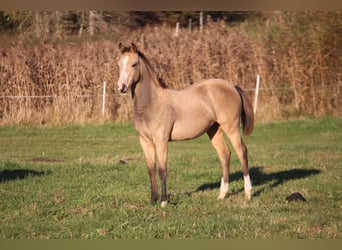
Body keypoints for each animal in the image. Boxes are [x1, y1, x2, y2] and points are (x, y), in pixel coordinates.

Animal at [117, 42, 254, 207]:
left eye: (134, 64)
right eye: (118, 64)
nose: (121, 87)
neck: (152, 103)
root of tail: (232, 86)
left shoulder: (161, 140)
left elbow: (162, 169)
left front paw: (164, 201)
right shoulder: (145, 141)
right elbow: (151, 170)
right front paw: (153, 200)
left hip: (231, 128)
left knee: (242, 152)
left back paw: (248, 194)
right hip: (214, 130)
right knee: (224, 154)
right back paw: (222, 195)